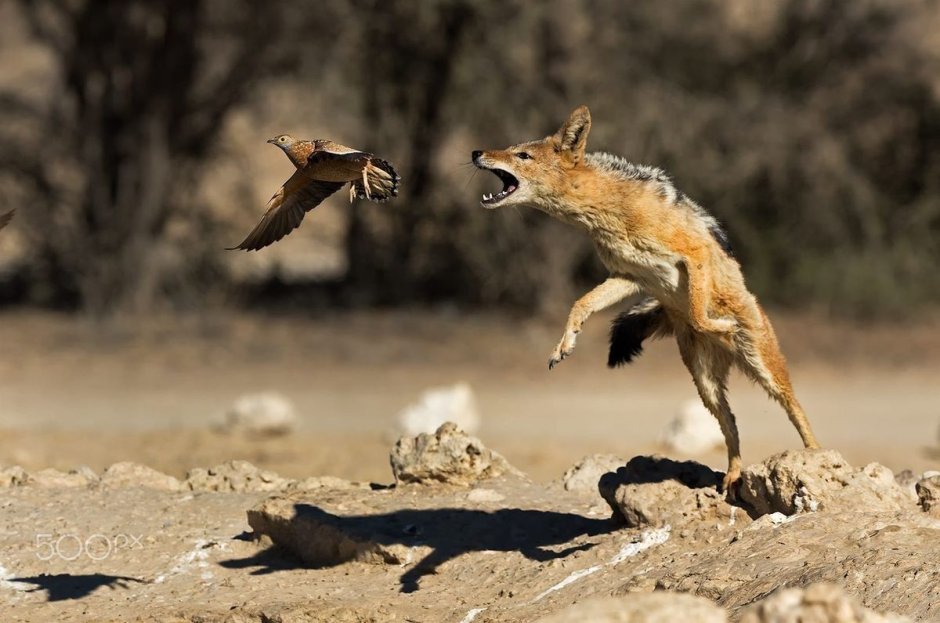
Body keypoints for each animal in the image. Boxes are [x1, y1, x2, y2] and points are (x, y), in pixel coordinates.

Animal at [472, 105, 820, 494]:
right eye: (509, 148)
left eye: (522, 155)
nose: (476, 153)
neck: (609, 211)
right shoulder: (630, 276)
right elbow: (581, 304)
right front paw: (565, 344)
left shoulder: (692, 255)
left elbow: (698, 313)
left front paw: (721, 325)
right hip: (707, 389)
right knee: (731, 425)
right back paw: (732, 474)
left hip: (767, 372)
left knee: (797, 411)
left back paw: (815, 456)